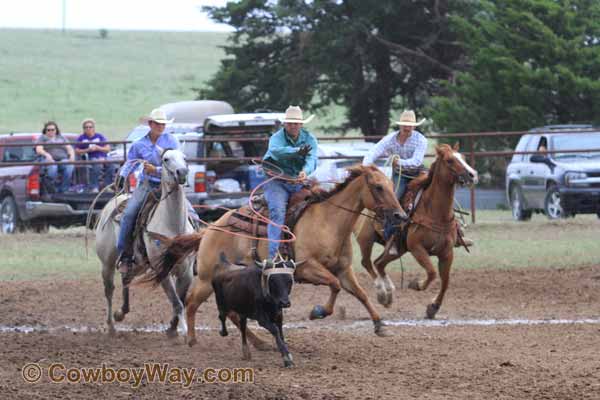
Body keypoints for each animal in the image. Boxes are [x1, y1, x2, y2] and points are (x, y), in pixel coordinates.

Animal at [96, 150, 193, 338]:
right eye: (166, 159)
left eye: (185, 157)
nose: (182, 172)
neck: (173, 225)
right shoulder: (163, 270)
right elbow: (177, 303)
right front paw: (184, 332)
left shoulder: (186, 272)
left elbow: (181, 300)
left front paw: (172, 329)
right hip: (107, 263)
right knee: (109, 290)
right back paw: (111, 326)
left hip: (138, 264)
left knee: (126, 278)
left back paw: (121, 313)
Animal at [149, 164, 408, 346]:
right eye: (378, 187)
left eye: (390, 184)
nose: (401, 216)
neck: (328, 222)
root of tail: (209, 230)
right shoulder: (307, 268)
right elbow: (334, 285)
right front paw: (318, 312)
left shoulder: (344, 269)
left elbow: (361, 293)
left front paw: (380, 325)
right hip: (205, 278)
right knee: (192, 302)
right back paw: (192, 339)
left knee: (231, 312)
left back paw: (259, 342)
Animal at [356, 144, 478, 318]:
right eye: (449, 160)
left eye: (463, 157)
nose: (472, 175)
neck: (435, 212)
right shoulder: (417, 248)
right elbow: (432, 272)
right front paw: (416, 284)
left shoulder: (447, 252)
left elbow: (445, 281)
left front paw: (433, 308)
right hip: (365, 240)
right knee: (367, 263)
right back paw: (383, 294)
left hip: (398, 249)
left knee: (379, 263)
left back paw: (389, 294)